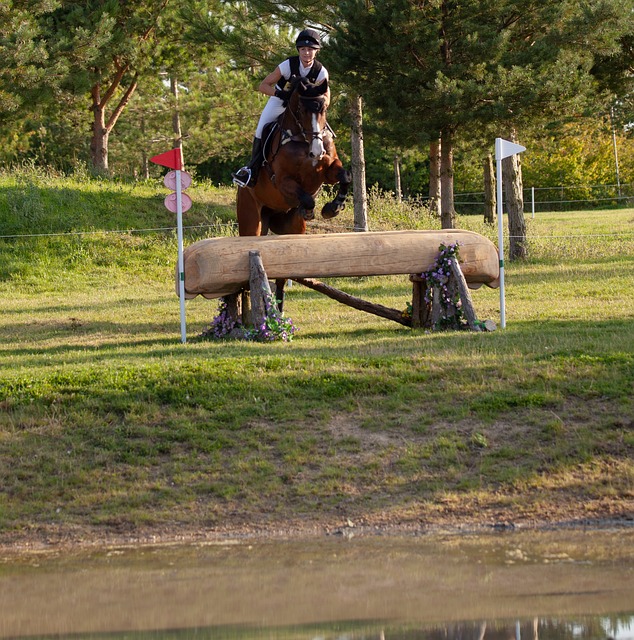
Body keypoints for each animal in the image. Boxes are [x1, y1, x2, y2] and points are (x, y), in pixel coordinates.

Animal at [235, 75, 350, 310]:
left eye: (325, 108)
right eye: (301, 110)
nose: (316, 151)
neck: (303, 140)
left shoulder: (328, 170)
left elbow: (344, 176)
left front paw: (332, 208)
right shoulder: (282, 181)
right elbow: (305, 196)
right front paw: (311, 209)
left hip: (290, 230)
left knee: (281, 277)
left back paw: (278, 310)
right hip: (251, 219)